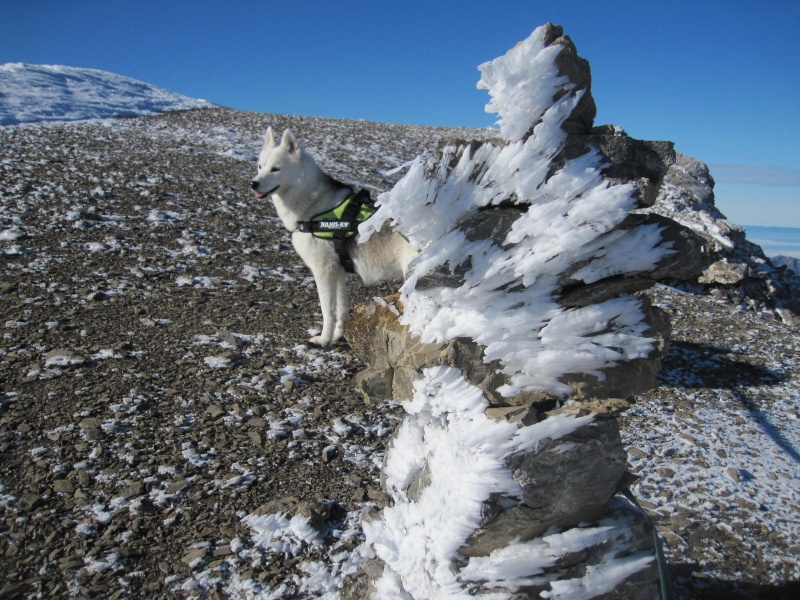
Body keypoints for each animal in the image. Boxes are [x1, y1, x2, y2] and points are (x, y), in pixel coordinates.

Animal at [248, 129, 412, 350]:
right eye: (260, 166)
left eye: (275, 169)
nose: (253, 183)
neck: (313, 206)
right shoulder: (339, 272)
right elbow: (341, 310)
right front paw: (335, 337)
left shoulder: (323, 271)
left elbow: (328, 312)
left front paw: (324, 340)